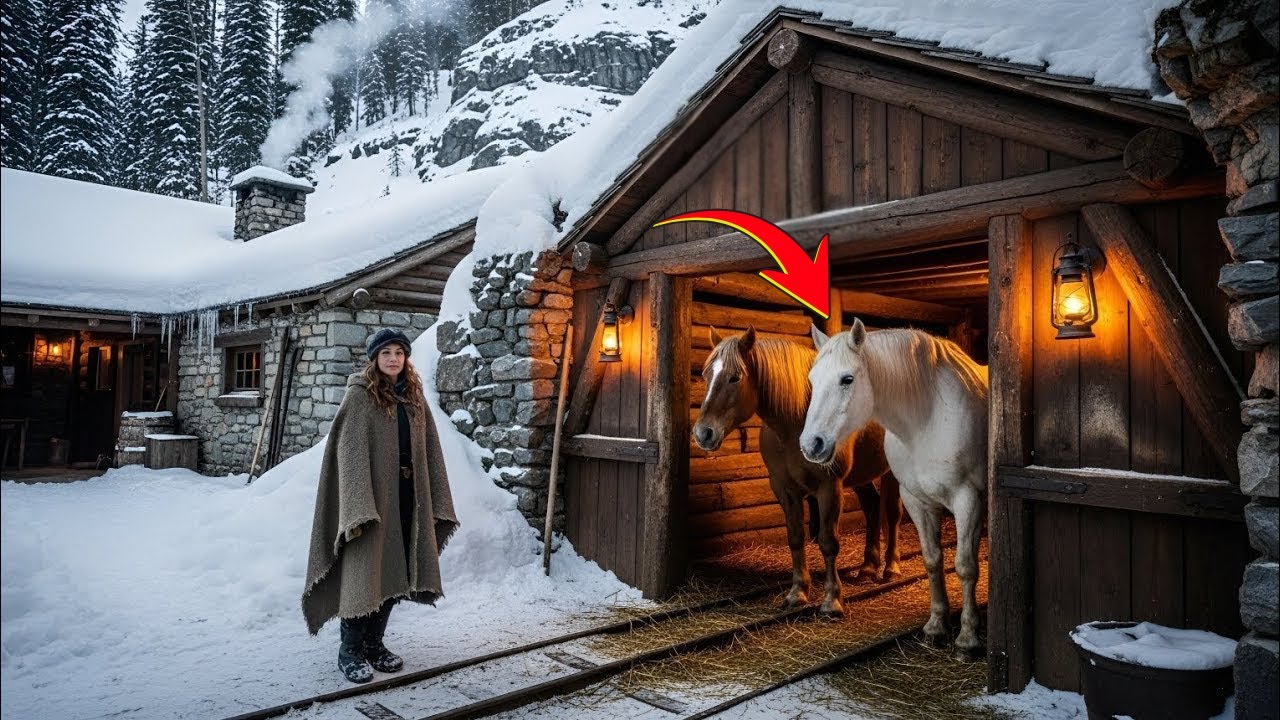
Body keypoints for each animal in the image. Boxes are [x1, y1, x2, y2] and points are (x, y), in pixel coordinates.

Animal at [692, 326, 902, 617]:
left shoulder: (829, 487)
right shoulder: (784, 488)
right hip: (861, 477)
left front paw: (832, 600)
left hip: (891, 473)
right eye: (705, 374)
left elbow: (828, 541)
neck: (794, 422)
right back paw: (867, 568)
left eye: (735, 377)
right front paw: (797, 593)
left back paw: (891, 568)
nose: (703, 433)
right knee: (872, 507)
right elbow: (795, 537)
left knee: (891, 514)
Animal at [800, 320, 988, 658]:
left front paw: (968, 638)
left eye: (847, 379)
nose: (812, 444)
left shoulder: (968, 500)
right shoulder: (917, 501)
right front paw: (936, 625)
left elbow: (966, 566)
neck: (927, 419)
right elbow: (932, 560)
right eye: (812, 380)